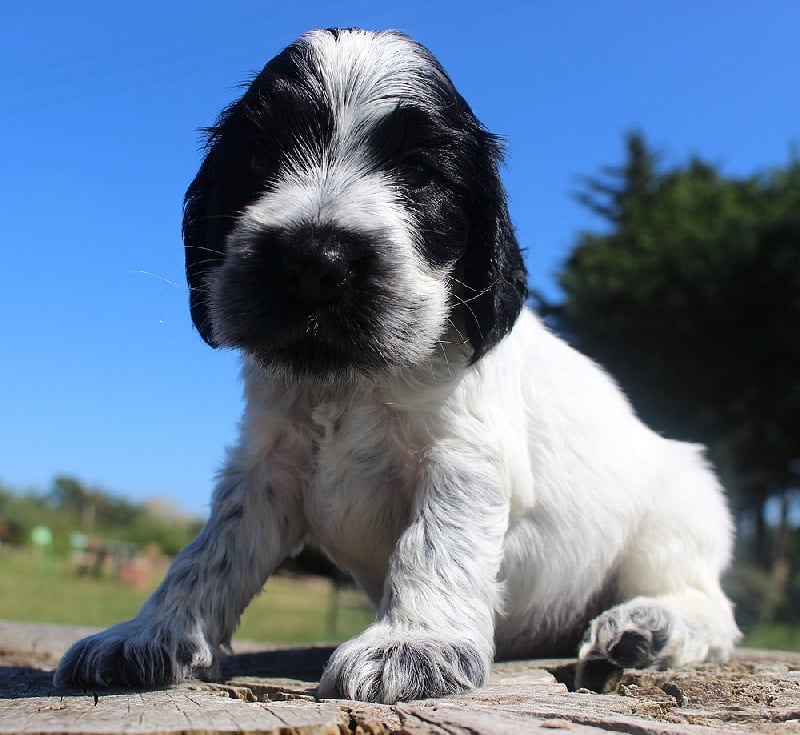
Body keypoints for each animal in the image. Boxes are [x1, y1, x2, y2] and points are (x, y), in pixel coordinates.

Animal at [53, 28, 740, 704]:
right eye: (257, 158)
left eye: (417, 171)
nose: (313, 262)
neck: (353, 380)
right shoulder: (265, 467)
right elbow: (209, 553)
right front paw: (149, 634)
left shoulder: (463, 458)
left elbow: (435, 543)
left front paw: (413, 645)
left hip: (678, 512)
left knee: (710, 604)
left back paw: (649, 626)